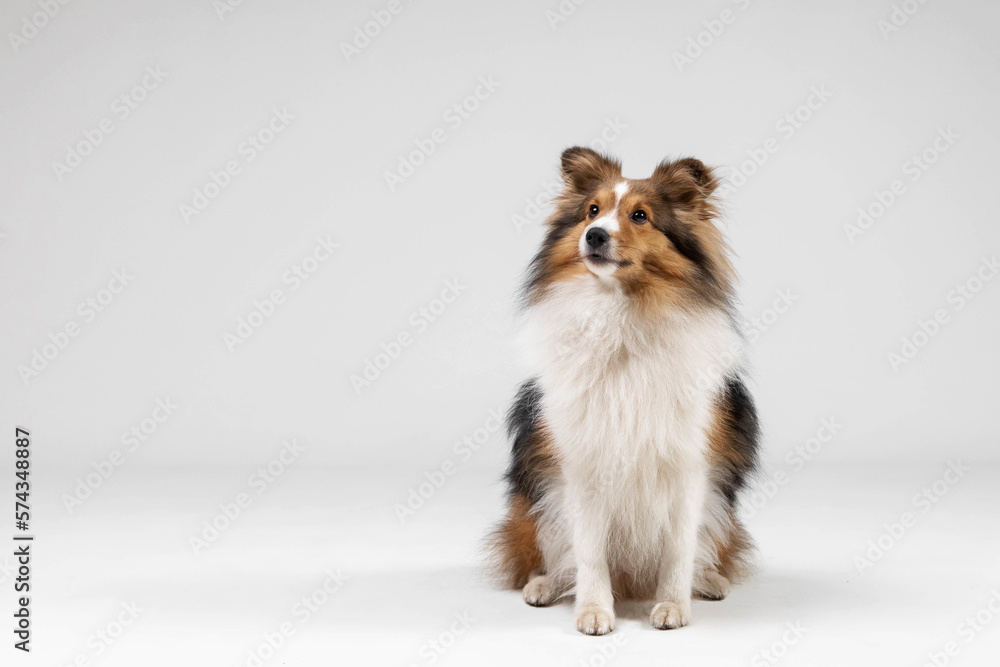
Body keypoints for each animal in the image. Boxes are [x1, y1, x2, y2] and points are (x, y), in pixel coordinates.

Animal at [488, 147, 760, 636]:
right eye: (592, 211)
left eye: (640, 216)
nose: (594, 236)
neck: (622, 316)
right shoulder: (581, 463)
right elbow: (589, 553)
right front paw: (594, 611)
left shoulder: (689, 464)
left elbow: (679, 550)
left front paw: (672, 607)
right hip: (532, 502)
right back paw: (544, 584)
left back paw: (710, 580)